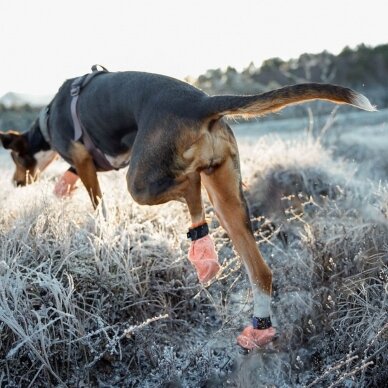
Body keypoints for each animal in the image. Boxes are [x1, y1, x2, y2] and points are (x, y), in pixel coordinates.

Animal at [0, 66, 376, 348]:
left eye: (15, 158)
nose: (15, 184)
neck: (49, 120)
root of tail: (202, 101)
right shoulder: (86, 164)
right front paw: (62, 188)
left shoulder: (84, 161)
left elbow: (97, 202)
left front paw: (99, 227)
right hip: (227, 197)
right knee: (259, 269)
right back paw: (255, 323)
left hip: (142, 181)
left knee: (190, 187)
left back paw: (201, 248)